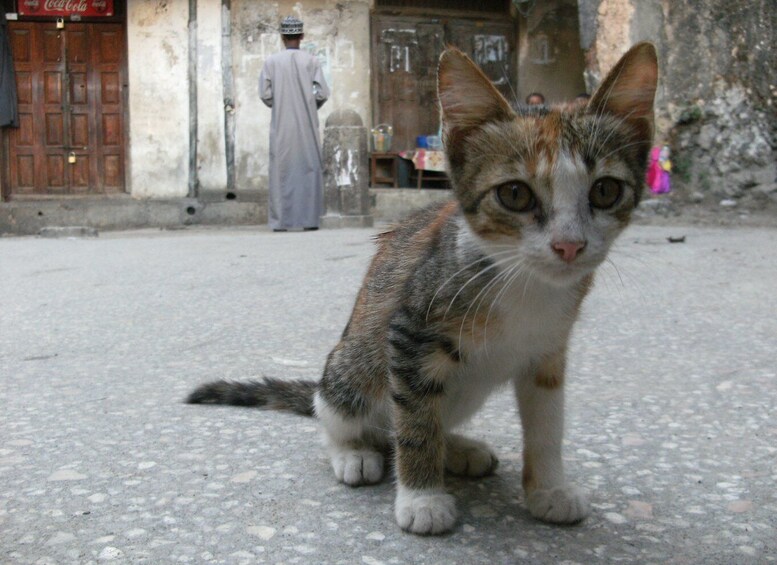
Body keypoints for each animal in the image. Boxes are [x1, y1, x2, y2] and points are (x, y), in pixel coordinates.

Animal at [188, 43, 656, 532]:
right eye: (515, 195)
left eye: (605, 190)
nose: (569, 245)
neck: (524, 282)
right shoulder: (410, 332)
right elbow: (415, 422)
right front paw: (422, 498)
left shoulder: (548, 351)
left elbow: (547, 423)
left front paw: (548, 489)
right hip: (353, 369)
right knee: (349, 416)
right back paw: (354, 453)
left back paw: (458, 449)